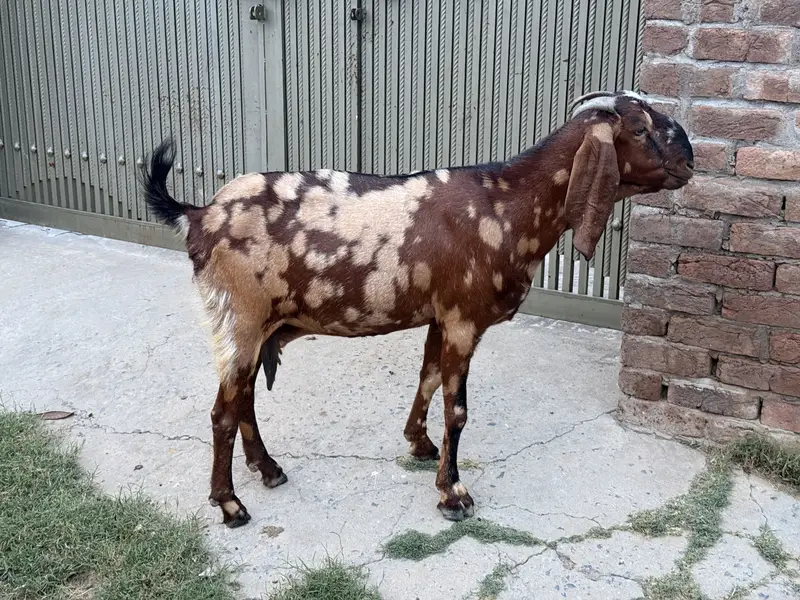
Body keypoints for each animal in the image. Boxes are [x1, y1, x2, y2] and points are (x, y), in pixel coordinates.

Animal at [141, 90, 694, 527]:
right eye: (640, 128)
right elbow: (458, 409)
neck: (507, 206)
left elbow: (427, 378)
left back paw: (269, 470)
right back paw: (230, 505)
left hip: (256, 328)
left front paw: (420, 445)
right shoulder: (464, 318)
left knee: (245, 401)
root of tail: (198, 216)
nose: (690, 160)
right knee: (223, 413)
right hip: (240, 319)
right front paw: (453, 493)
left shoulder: (440, 316)